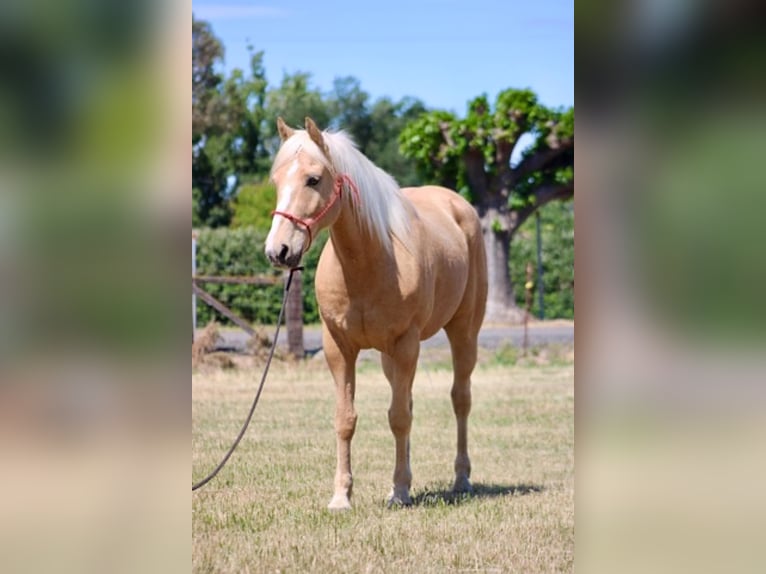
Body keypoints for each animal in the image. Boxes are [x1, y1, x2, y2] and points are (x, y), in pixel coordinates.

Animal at [265, 117, 487, 509]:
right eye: (276, 181)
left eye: (313, 179)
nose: (278, 250)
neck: (369, 261)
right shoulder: (339, 347)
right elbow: (347, 418)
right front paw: (342, 496)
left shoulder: (405, 343)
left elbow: (398, 418)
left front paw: (399, 491)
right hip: (390, 357)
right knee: (409, 400)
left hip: (462, 334)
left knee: (460, 400)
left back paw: (461, 479)